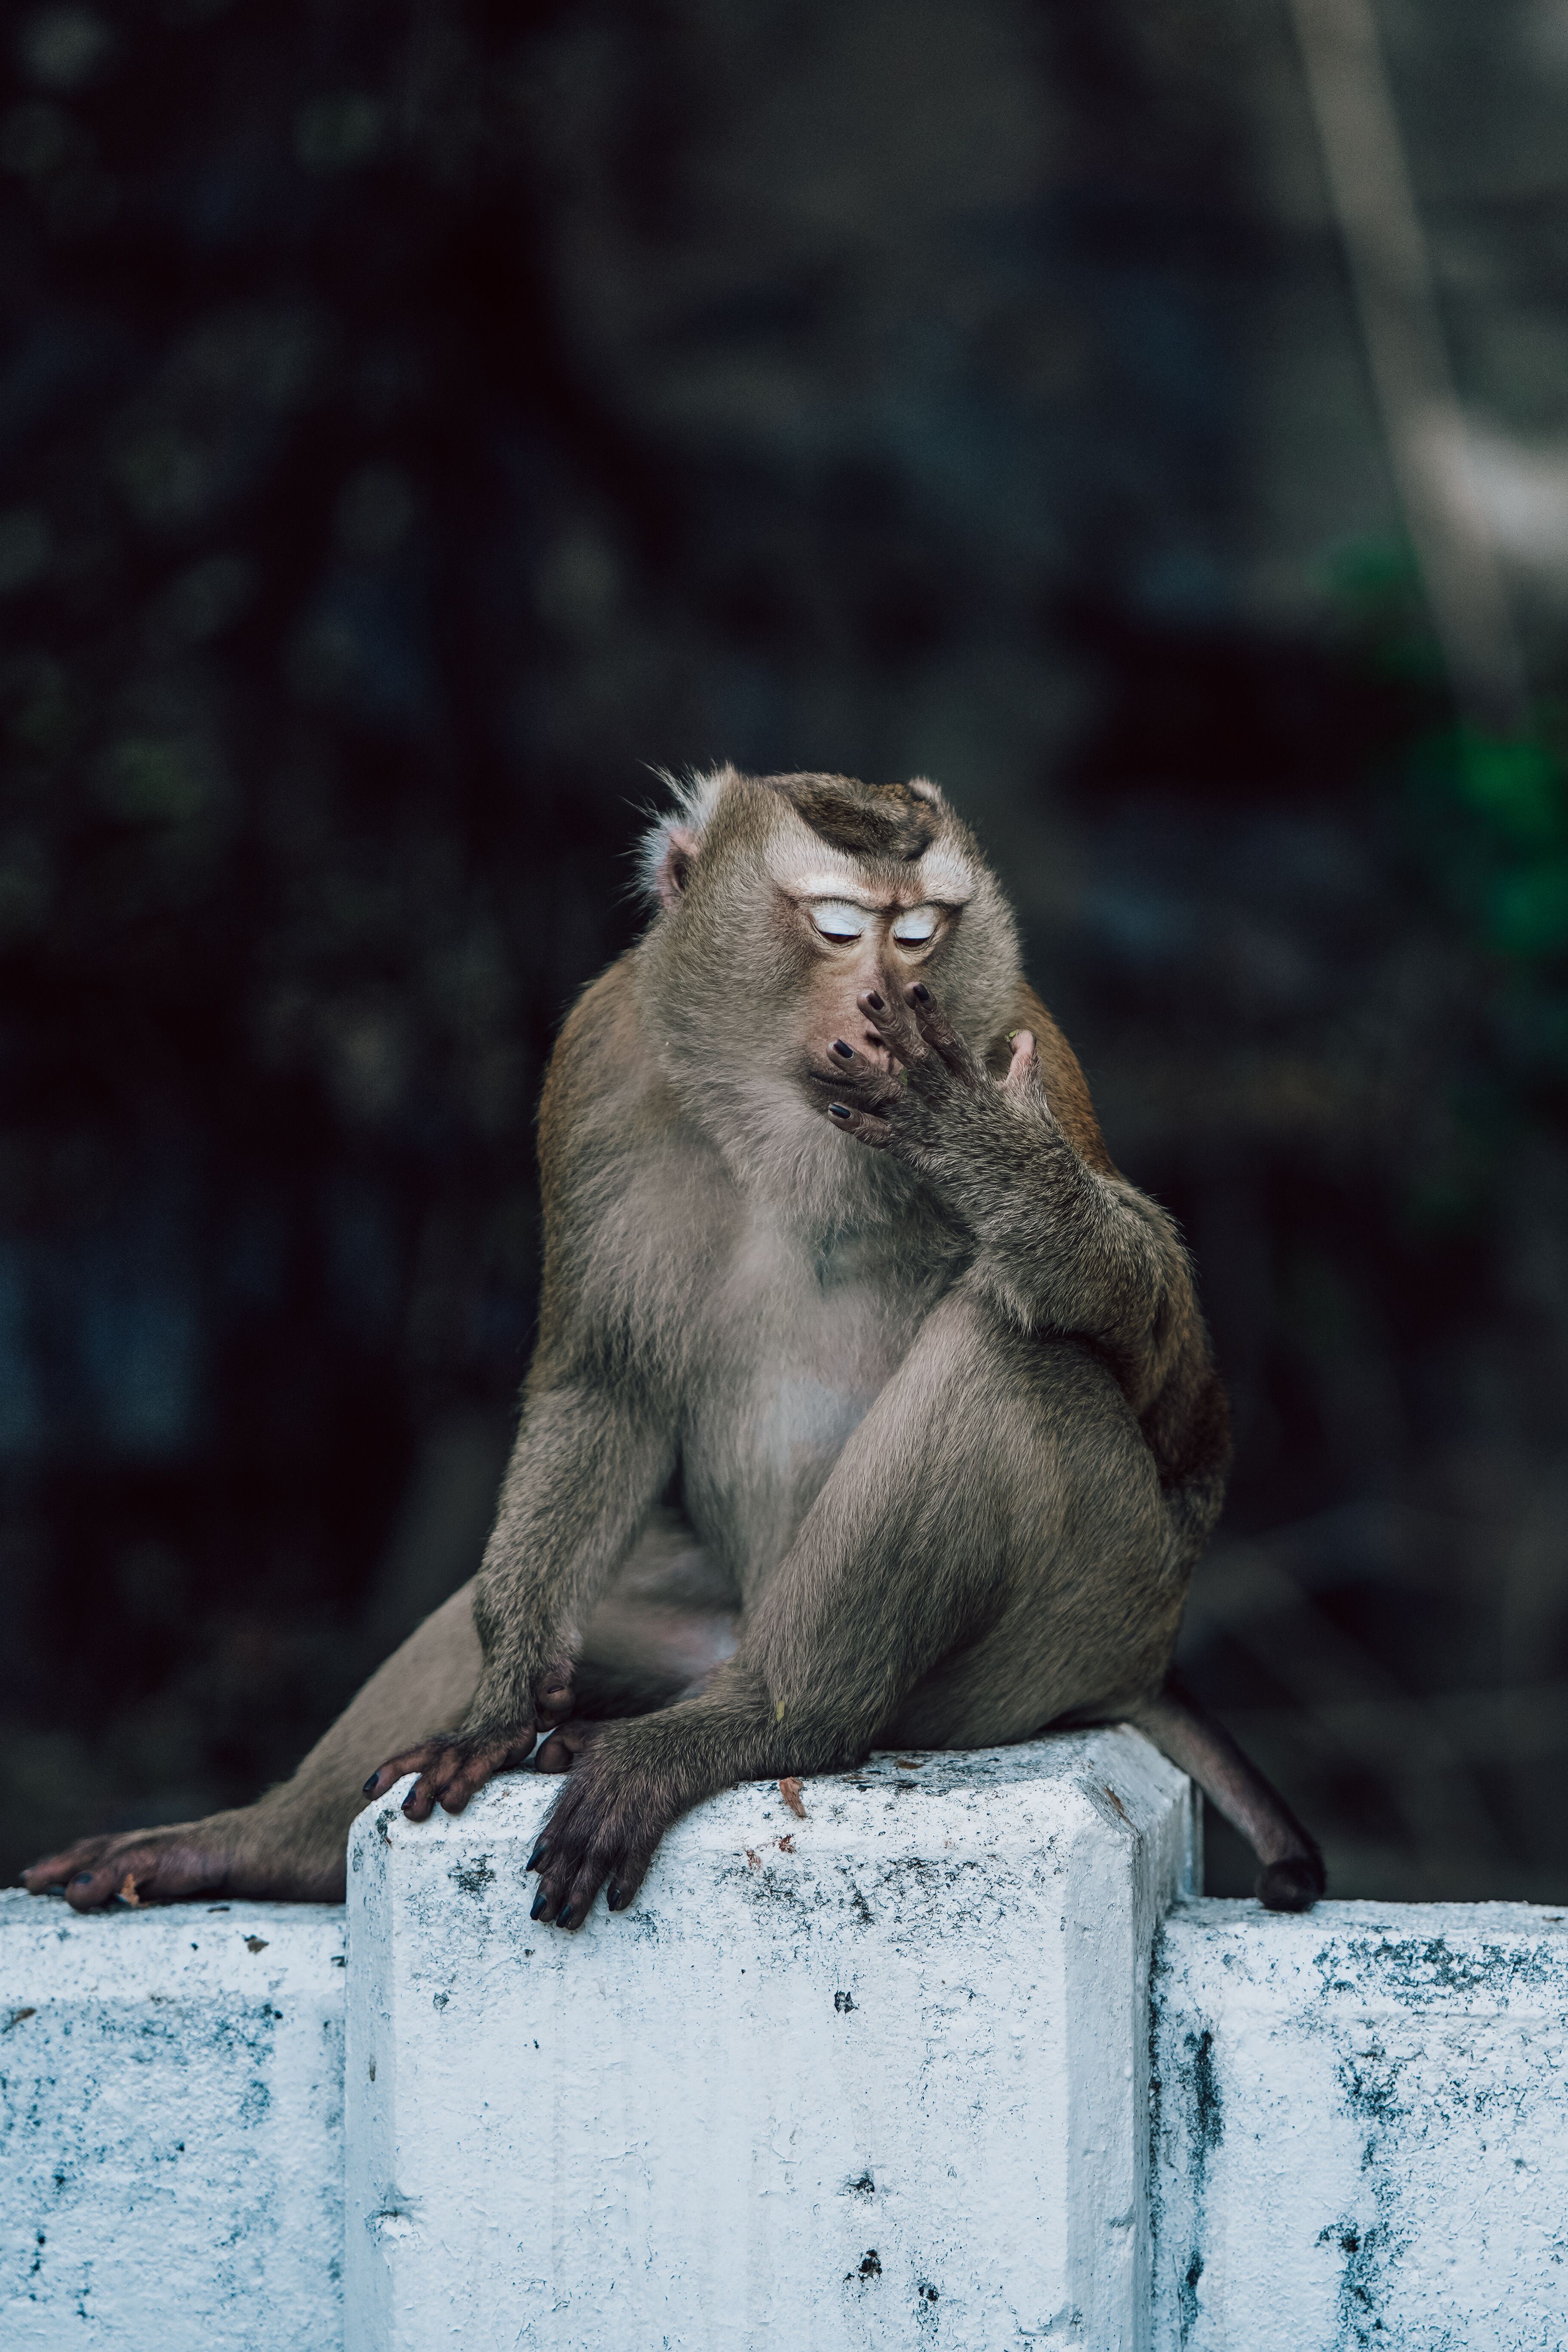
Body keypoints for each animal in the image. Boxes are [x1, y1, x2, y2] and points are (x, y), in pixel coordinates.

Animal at [24, 766, 1323, 1924]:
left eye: (919, 934)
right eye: (837, 925)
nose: (882, 1002)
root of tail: (1142, 1665)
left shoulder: (1017, 1037)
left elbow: (1173, 1382)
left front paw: (982, 1149)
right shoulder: (600, 1056)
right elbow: (602, 1381)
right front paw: (499, 1702)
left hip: (1072, 1628)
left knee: (1015, 1365)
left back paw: (768, 1723)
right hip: (694, 1618)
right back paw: (252, 1843)